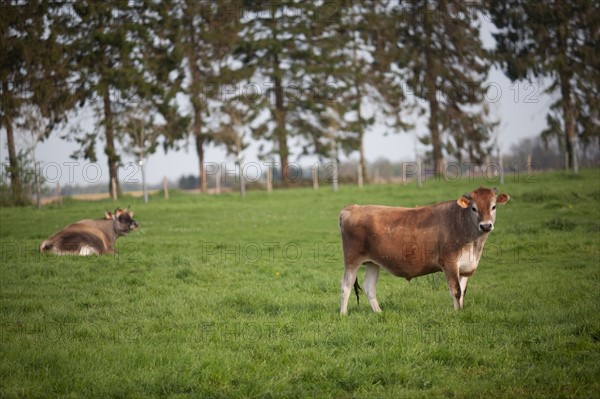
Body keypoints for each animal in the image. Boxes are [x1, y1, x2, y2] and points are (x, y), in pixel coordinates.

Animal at [340, 188, 508, 316]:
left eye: (493, 207)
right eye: (474, 208)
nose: (486, 226)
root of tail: (353, 207)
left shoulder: (466, 267)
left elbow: (463, 292)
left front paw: (461, 311)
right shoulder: (449, 262)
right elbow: (456, 291)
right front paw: (456, 314)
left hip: (373, 262)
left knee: (369, 287)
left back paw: (379, 312)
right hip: (352, 260)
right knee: (346, 285)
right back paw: (343, 314)